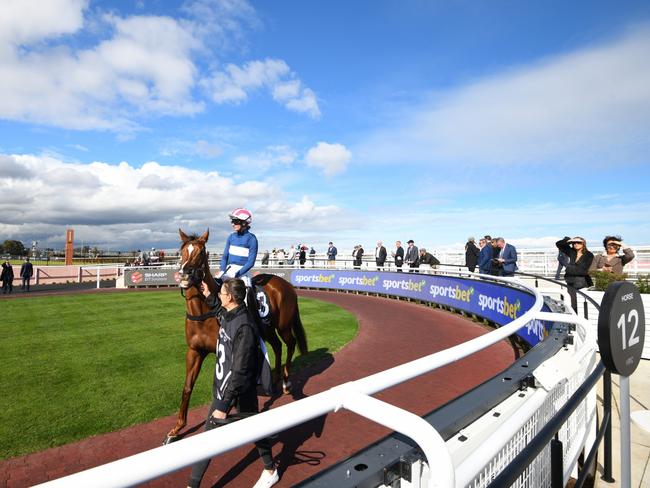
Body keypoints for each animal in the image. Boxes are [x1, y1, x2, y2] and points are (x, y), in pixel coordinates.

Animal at [166, 229, 310, 442]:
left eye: (201, 253)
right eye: (182, 252)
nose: (185, 274)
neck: (205, 311)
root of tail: (286, 284)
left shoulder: (225, 350)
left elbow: (227, 385)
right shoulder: (194, 351)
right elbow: (187, 387)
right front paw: (177, 428)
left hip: (283, 325)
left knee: (290, 343)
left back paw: (285, 382)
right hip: (266, 328)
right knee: (277, 345)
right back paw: (275, 378)